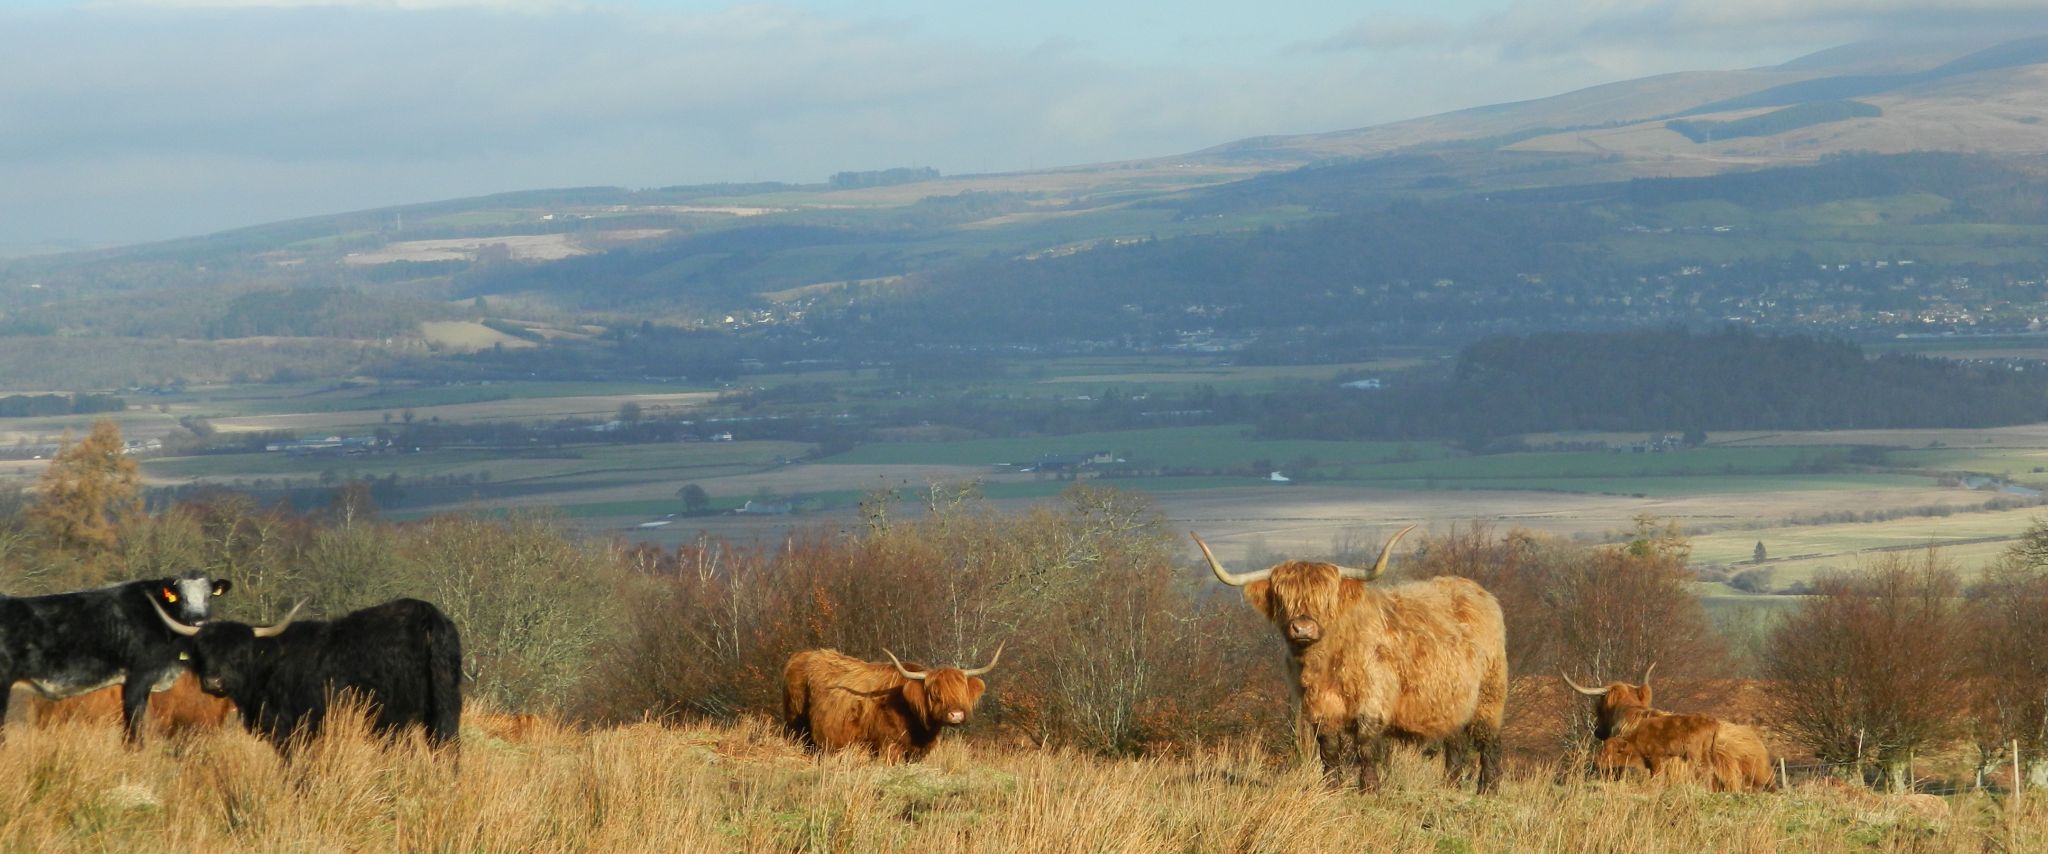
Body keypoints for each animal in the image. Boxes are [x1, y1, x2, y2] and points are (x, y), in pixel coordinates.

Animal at [149, 593, 462, 753]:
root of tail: (426, 614)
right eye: (203, 652)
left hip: (392, 718)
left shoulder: (290, 729)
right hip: (444, 708)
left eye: (239, 654)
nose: (213, 681)